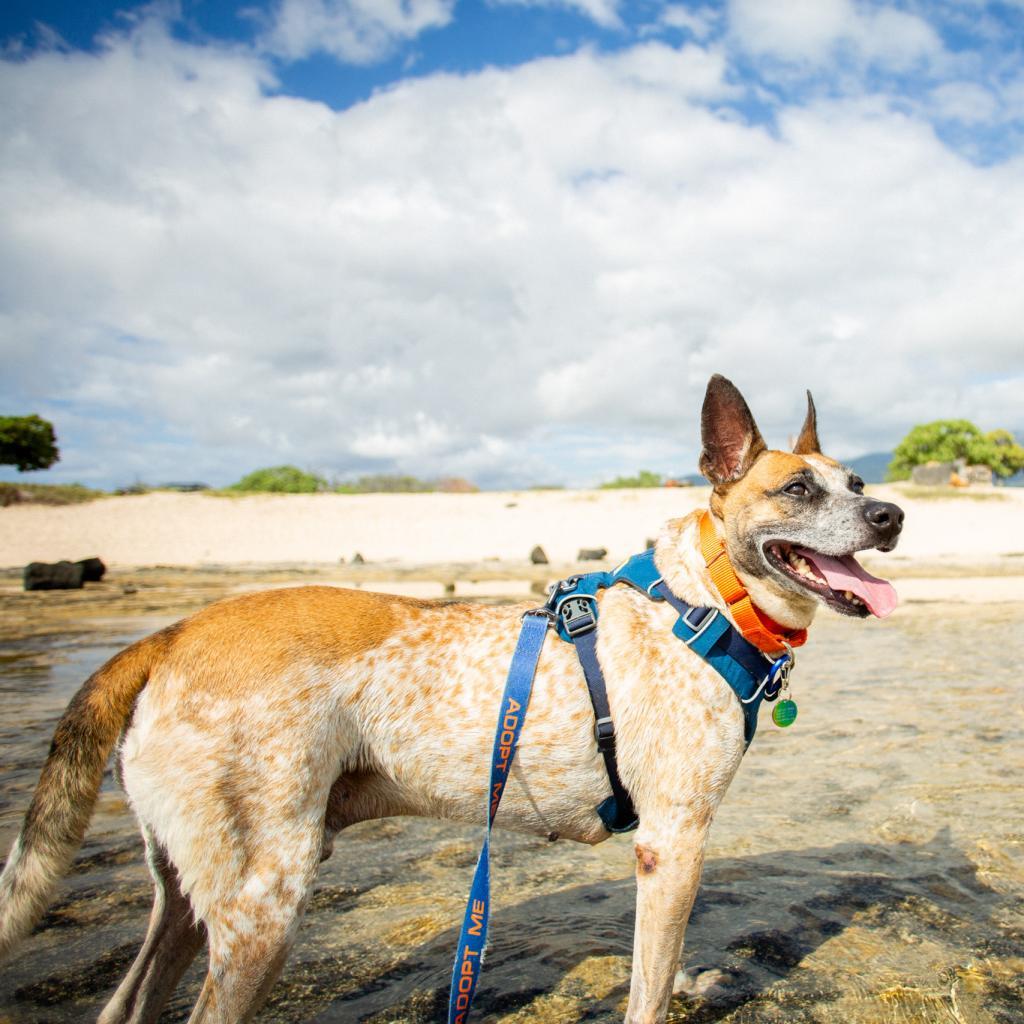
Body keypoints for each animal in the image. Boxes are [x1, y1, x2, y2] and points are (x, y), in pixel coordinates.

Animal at [0, 376, 901, 1024]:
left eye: (857, 481)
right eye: (797, 491)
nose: (891, 514)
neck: (704, 600)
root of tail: (172, 633)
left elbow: (665, 965)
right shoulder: (672, 843)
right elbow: (646, 991)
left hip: (192, 900)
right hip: (264, 905)